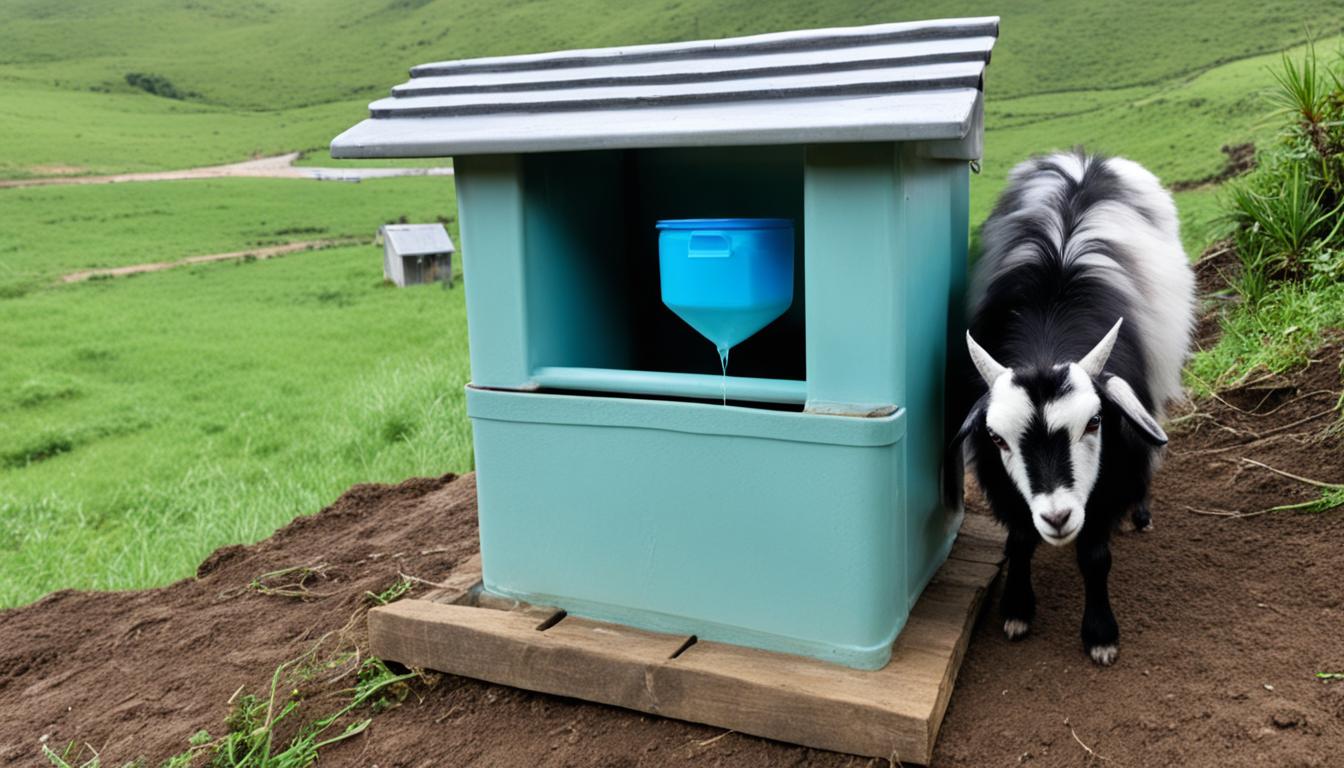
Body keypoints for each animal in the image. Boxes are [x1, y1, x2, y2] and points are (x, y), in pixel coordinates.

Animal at [946, 151, 1198, 667]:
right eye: (997, 438)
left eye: (1095, 422)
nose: (1058, 518)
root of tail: (1084, 160)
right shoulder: (1004, 483)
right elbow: (1020, 539)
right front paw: (1017, 609)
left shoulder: (1114, 468)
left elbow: (1095, 556)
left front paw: (1101, 634)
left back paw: (1141, 513)